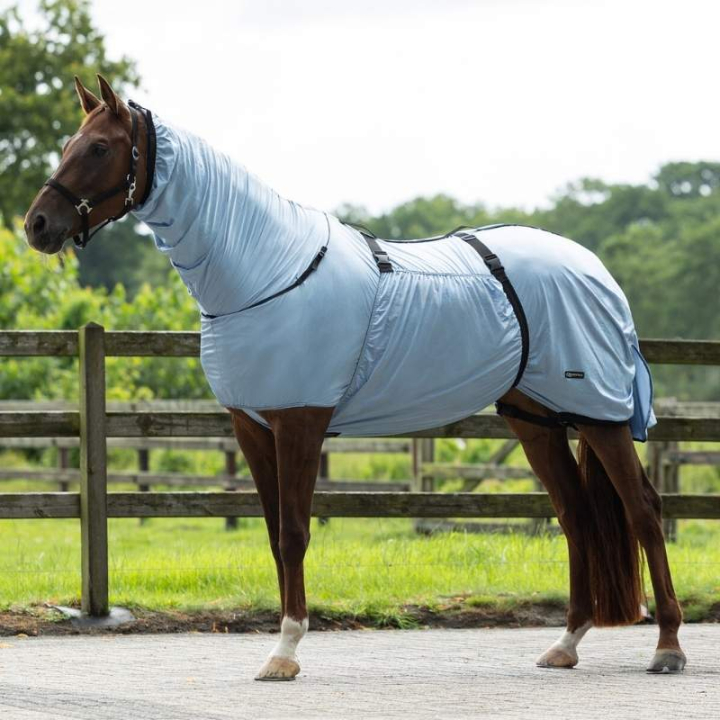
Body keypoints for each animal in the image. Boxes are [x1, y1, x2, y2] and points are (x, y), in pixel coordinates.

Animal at [24, 75, 686, 680]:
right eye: (68, 143)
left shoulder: (300, 421)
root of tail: (594, 268)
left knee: (644, 510)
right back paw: (565, 644)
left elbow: (294, 533)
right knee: (577, 517)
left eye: (99, 148)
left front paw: (286, 652)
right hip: (536, 418)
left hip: (599, 414)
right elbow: (273, 535)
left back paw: (668, 647)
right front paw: (282, 644)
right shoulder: (251, 427)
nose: (37, 225)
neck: (266, 269)